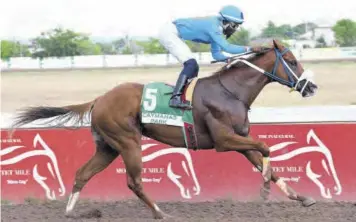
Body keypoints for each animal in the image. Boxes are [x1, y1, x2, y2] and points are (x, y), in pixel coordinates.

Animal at [11, 39, 318, 219]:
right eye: (292, 61)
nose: (311, 87)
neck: (230, 92)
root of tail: (98, 100)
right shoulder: (225, 140)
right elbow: (265, 147)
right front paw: (265, 190)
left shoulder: (240, 139)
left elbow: (264, 159)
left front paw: (301, 198)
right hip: (129, 142)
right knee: (133, 181)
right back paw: (161, 213)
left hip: (108, 147)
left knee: (82, 174)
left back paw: (70, 212)